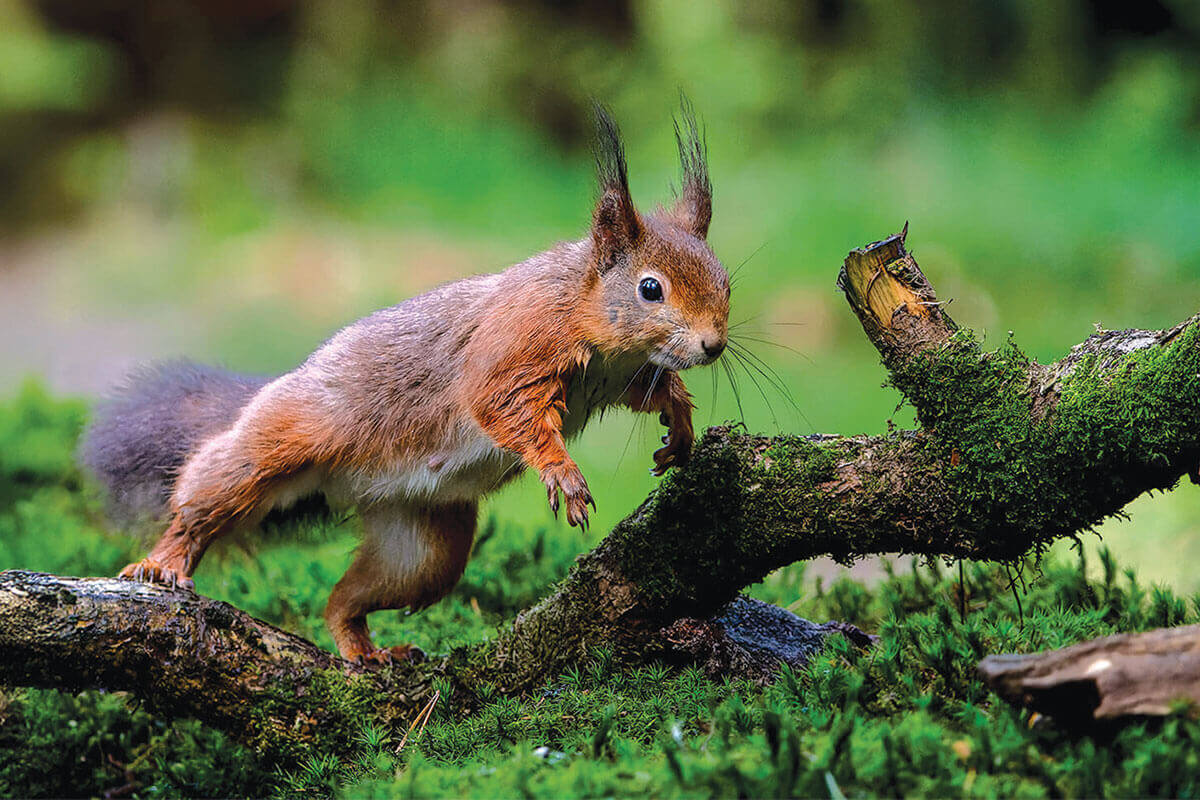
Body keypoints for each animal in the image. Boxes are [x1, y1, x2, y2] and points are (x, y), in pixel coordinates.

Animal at [80, 105, 730, 665]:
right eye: (651, 289)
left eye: (724, 278)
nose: (713, 345)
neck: (590, 316)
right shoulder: (516, 342)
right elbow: (500, 403)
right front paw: (562, 474)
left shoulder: (625, 373)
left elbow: (655, 392)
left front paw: (680, 427)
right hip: (284, 437)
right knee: (209, 488)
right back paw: (164, 561)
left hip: (422, 545)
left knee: (350, 596)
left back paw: (366, 650)